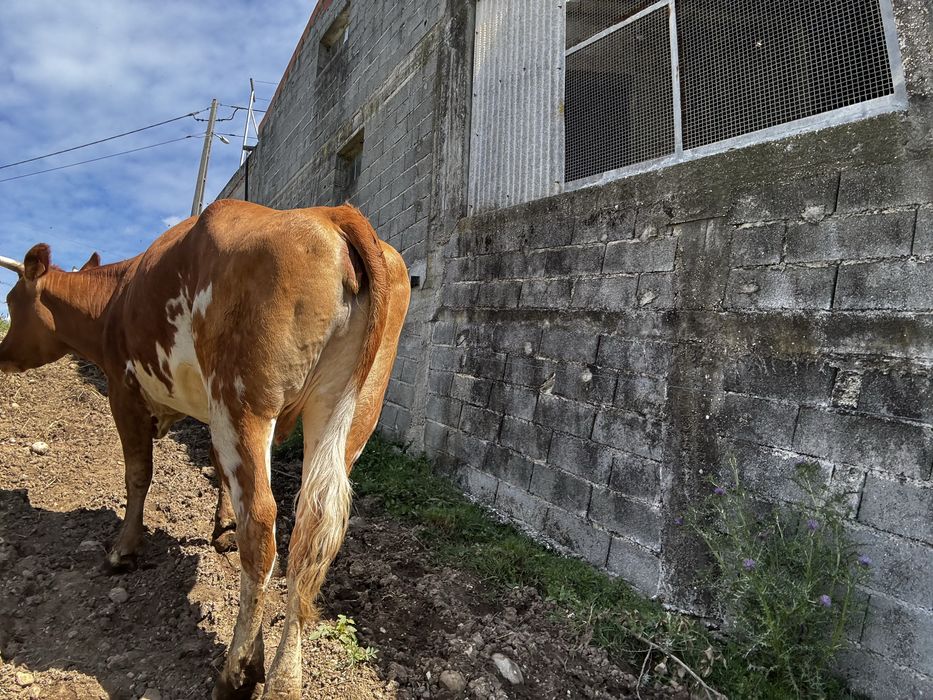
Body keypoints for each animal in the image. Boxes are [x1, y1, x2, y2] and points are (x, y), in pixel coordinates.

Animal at [0, 199, 411, 699]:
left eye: (11, 302)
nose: (1, 354)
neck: (116, 298)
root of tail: (331, 213)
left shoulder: (124, 389)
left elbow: (138, 473)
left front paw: (124, 549)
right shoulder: (205, 408)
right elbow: (216, 470)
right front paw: (222, 529)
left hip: (241, 398)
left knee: (263, 528)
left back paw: (236, 674)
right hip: (348, 412)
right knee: (311, 531)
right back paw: (284, 679)